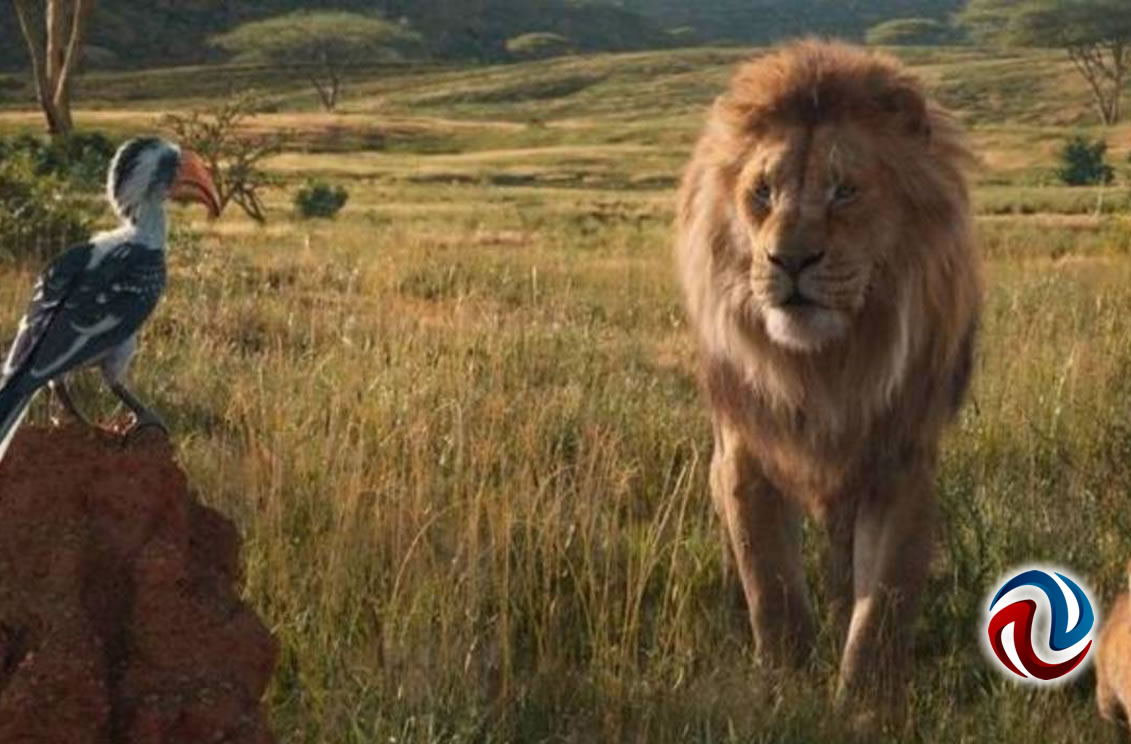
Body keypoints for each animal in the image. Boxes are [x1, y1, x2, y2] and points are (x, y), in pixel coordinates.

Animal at [675, 40, 981, 704]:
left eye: (844, 191)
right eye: (763, 192)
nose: (788, 260)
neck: (826, 366)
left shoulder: (901, 463)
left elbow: (882, 606)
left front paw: (865, 705)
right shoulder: (745, 454)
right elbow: (771, 587)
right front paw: (784, 689)